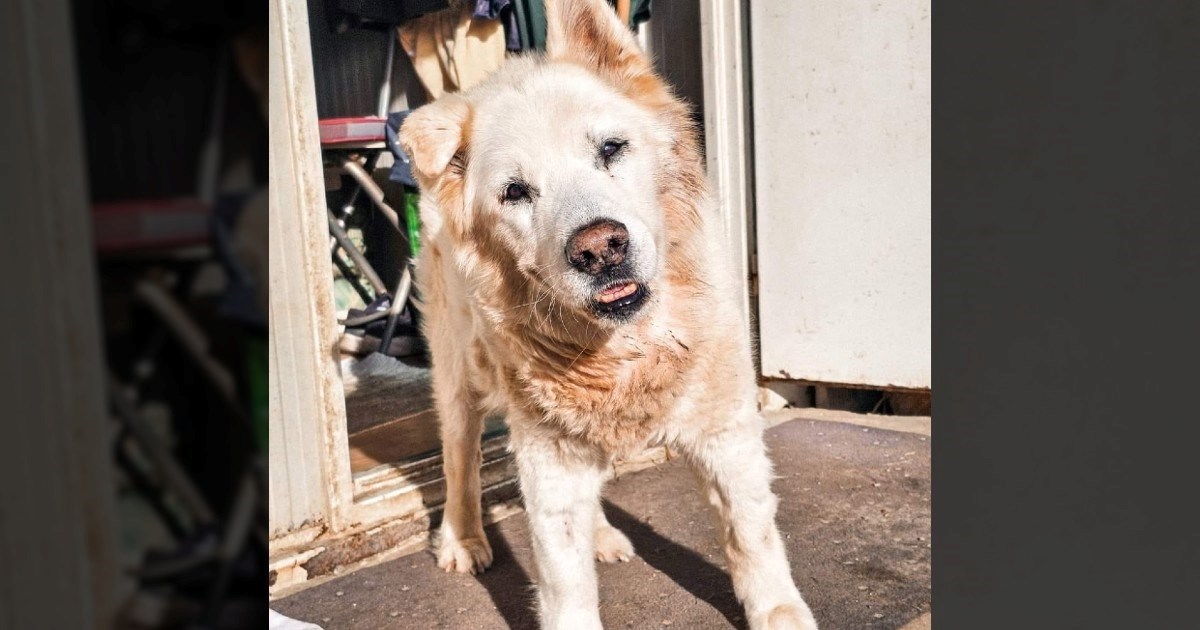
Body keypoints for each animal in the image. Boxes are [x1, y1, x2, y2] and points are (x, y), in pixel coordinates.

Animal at [398, 2, 820, 624]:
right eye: (515, 192)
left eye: (610, 149)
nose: (599, 249)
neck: (626, 348)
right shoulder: (547, 458)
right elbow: (564, 583)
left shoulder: (724, 429)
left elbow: (752, 535)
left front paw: (779, 614)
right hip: (457, 379)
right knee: (459, 459)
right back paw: (463, 539)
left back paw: (600, 535)